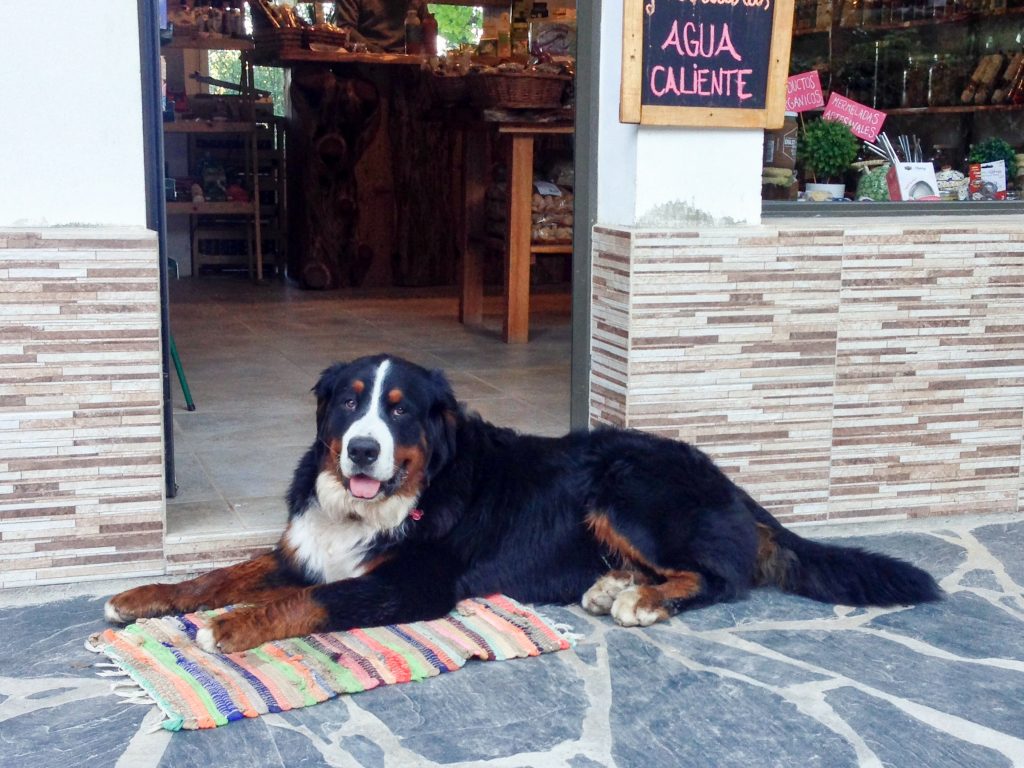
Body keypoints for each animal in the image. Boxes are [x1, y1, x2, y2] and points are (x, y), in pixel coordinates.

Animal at [105, 356, 942, 655]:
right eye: (349, 403)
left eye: (401, 412)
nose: (363, 450)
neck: (397, 502)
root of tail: (733, 485)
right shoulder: (305, 549)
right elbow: (217, 574)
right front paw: (145, 595)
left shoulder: (411, 582)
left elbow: (311, 602)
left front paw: (235, 625)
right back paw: (611, 587)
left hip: (624, 486)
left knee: (720, 576)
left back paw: (639, 599)